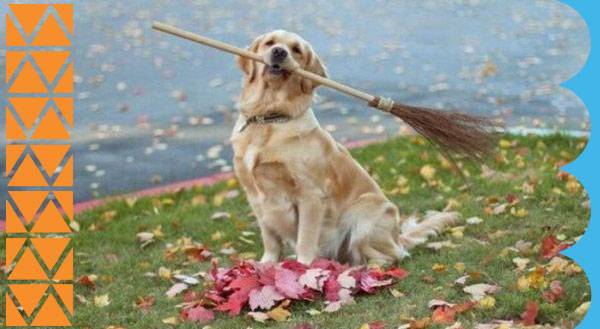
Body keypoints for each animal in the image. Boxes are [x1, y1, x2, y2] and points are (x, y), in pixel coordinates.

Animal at [232, 30, 458, 264]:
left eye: (296, 50)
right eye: (270, 43)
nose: (279, 52)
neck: (269, 118)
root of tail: (398, 237)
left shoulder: (310, 195)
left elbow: (305, 239)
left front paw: (301, 268)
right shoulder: (255, 195)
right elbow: (270, 240)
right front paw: (267, 265)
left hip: (364, 213)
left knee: (390, 257)